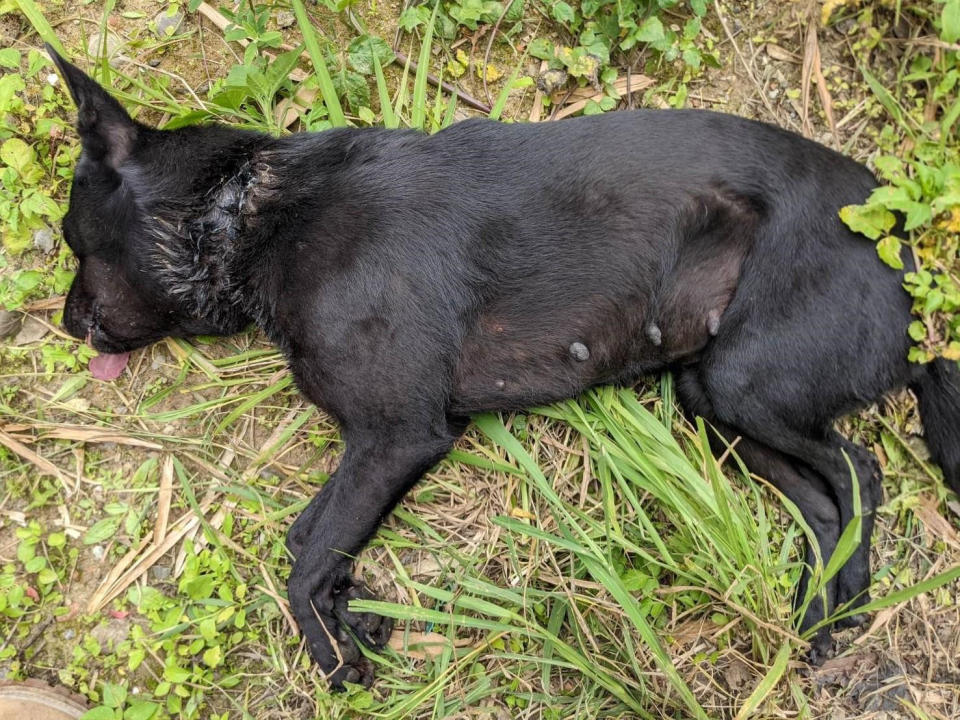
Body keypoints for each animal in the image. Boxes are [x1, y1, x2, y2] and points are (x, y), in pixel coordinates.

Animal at [47, 45, 960, 688]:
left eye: (72, 241)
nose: (65, 324)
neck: (246, 213)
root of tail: (911, 277)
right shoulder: (374, 449)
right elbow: (313, 541)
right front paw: (353, 617)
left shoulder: (397, 436)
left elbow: (305, 564)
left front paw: (335, 658)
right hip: (711, 396)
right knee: (825, 500)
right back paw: (816, 617)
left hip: (747, 384)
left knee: (862, 474)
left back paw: (850, 608)